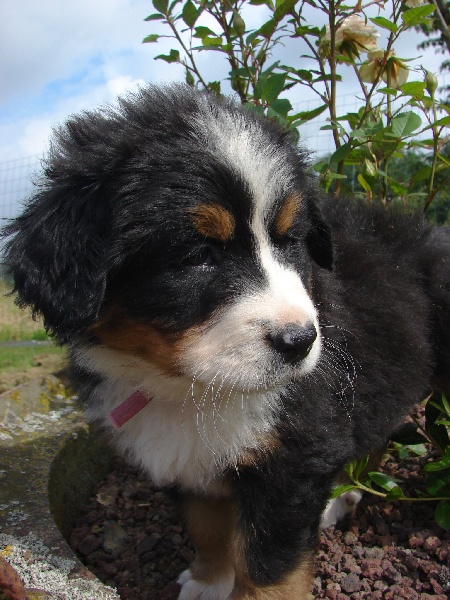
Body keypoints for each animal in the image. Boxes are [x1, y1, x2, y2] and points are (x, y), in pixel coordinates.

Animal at [2, 84, 449, 599]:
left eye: (289, 241)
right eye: (198, 255)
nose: (300, 340)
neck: (188, 389)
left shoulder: (292, 459)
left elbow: (268, 568)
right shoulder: (184, 457)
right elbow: (206, 525)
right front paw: (207, 581)